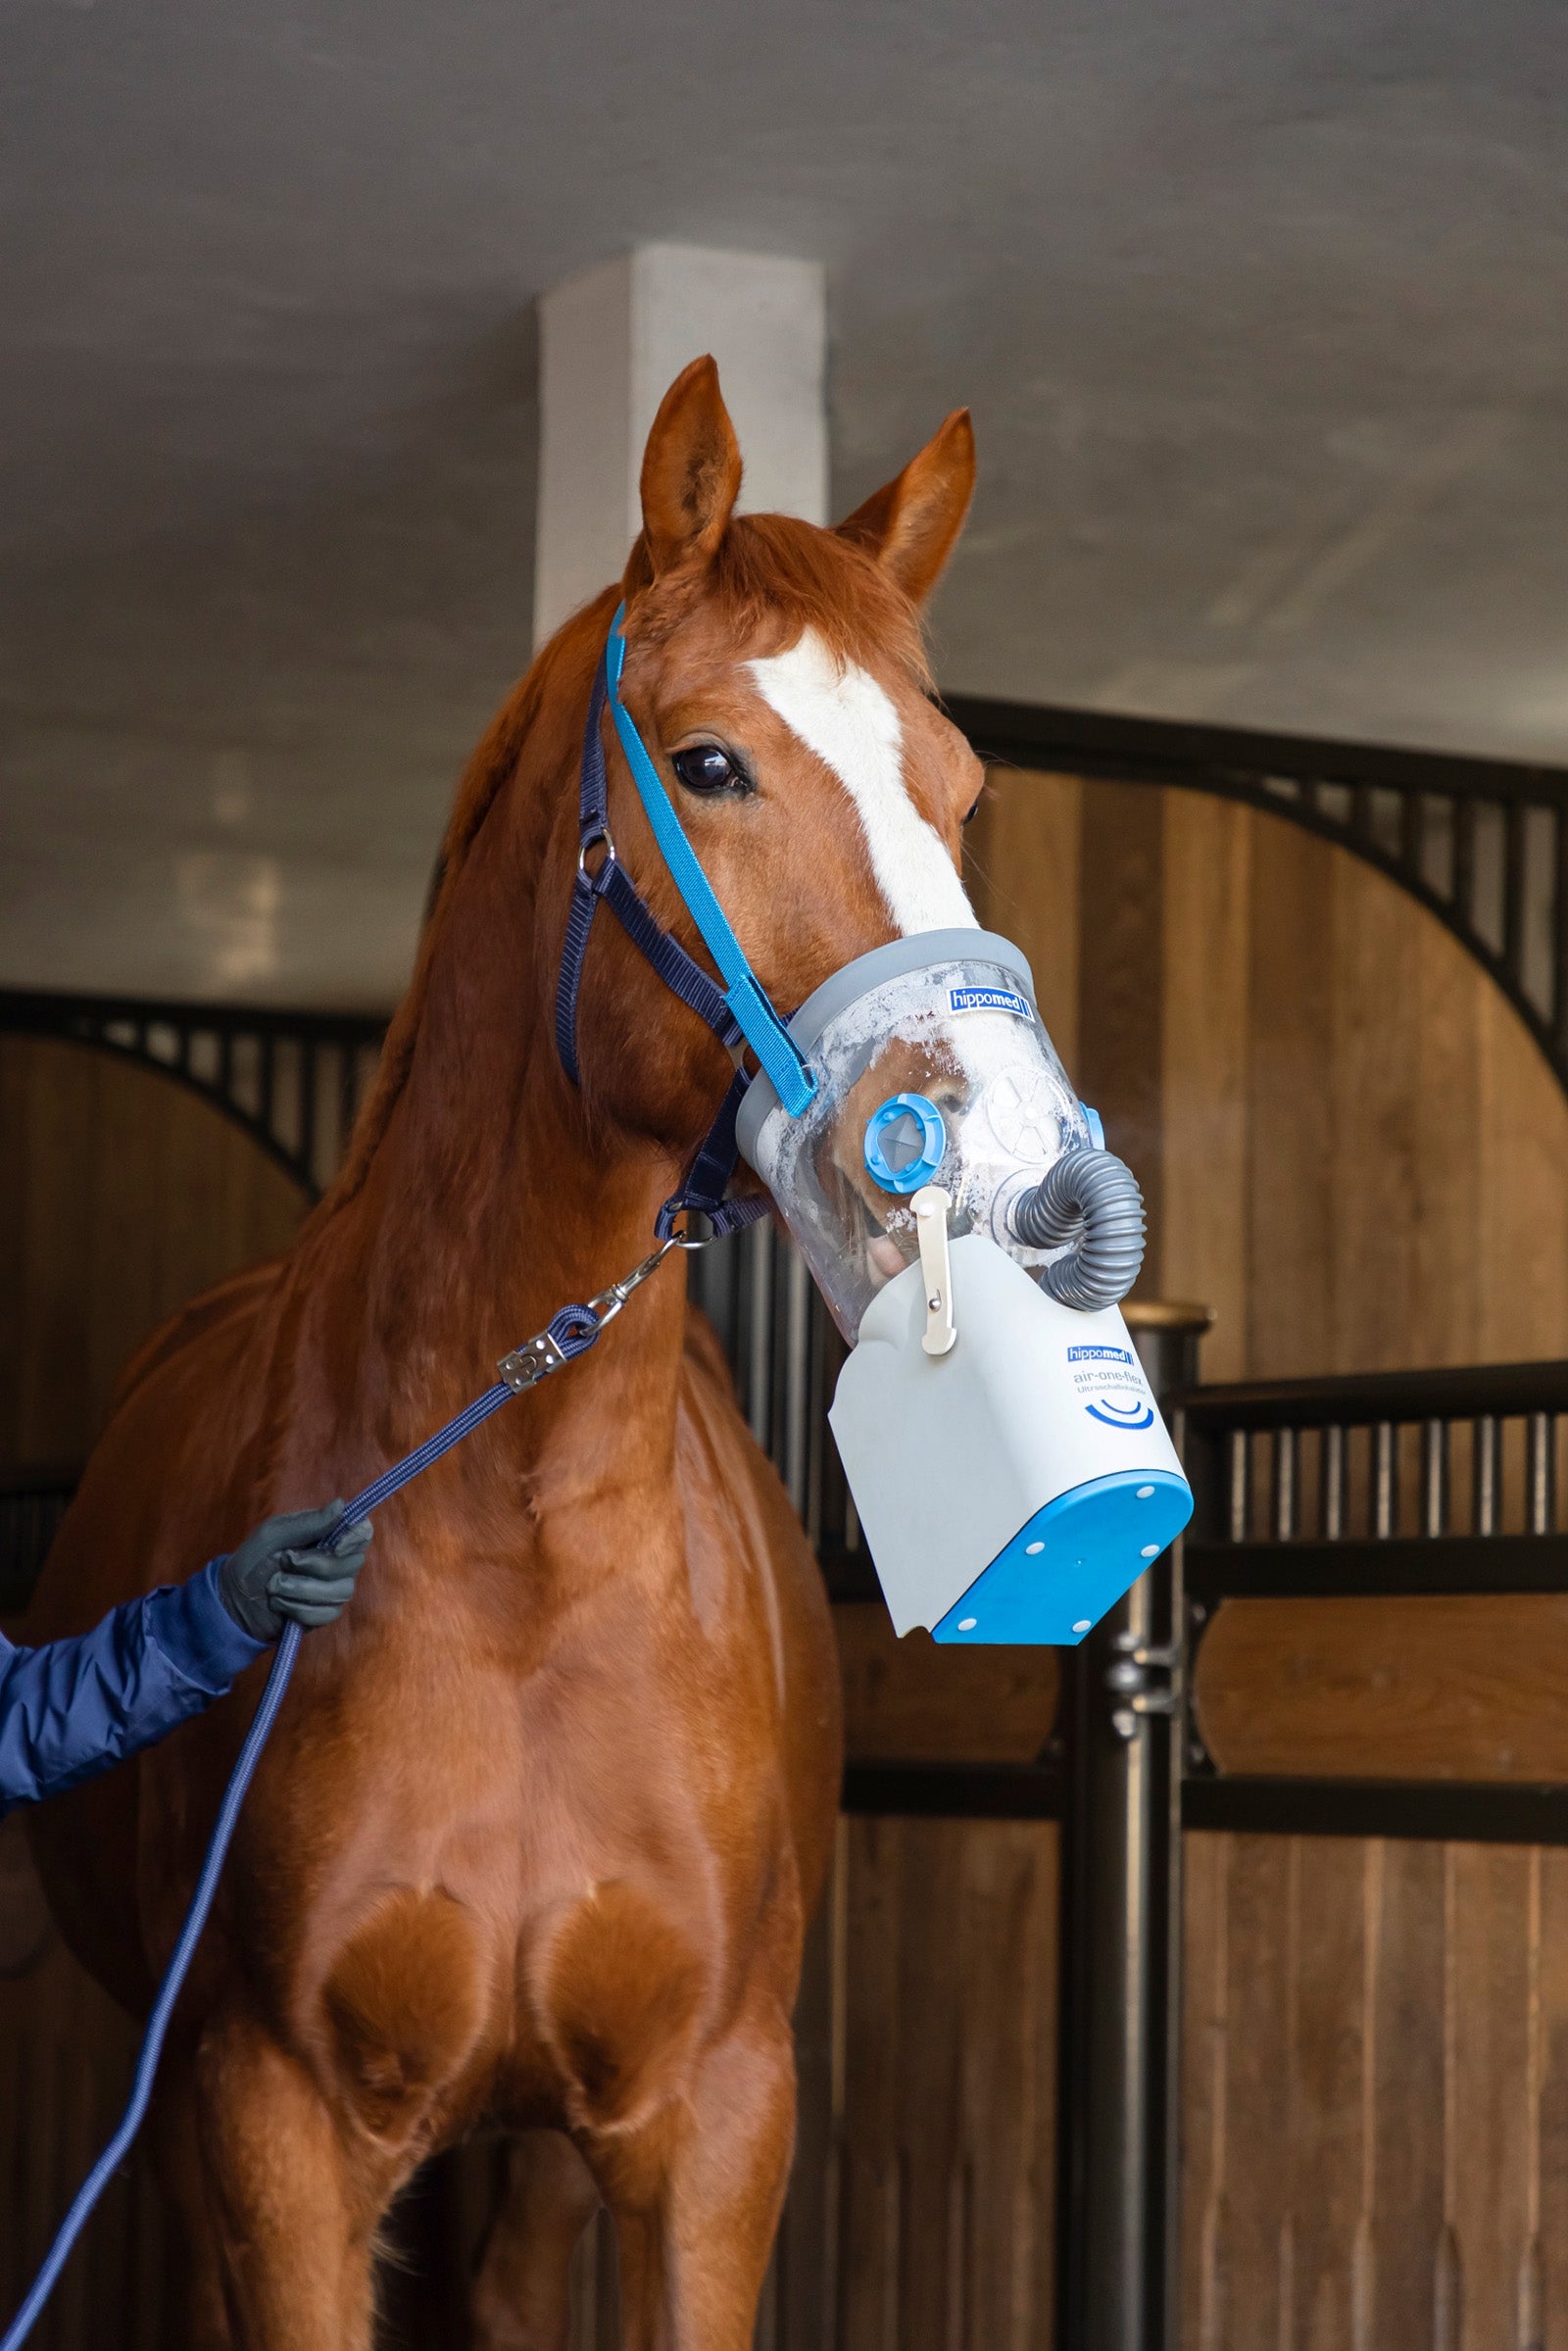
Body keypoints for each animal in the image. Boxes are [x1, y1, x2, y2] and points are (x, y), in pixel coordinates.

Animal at [25, 353, 982, 2350]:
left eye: (961, 791)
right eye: (708, 761)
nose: (984, 1134)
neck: (530, 1555)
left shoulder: (713, 2125)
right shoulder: (272, 2128)